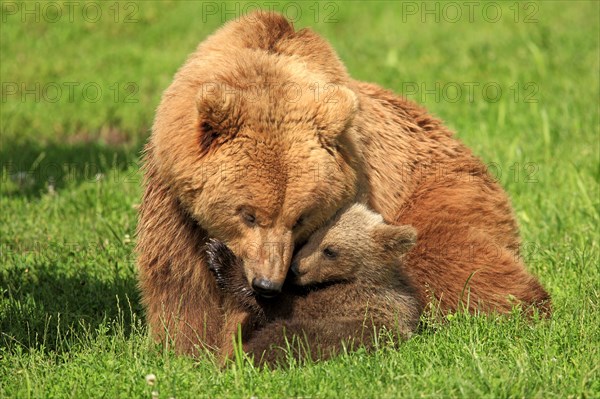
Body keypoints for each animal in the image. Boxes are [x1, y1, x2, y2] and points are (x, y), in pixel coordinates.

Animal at [206, 205, 422, 368]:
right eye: (311, 238)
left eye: (330, 250)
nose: (295, 269)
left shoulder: (349, 299)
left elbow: (288, 307)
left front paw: (220, 257)